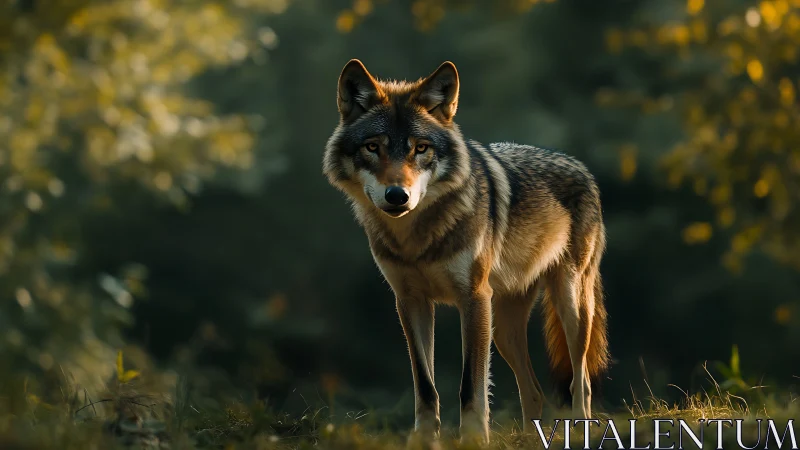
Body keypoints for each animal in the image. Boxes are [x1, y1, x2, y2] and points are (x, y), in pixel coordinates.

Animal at [323, 59, 609, 442]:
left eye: (421, 148)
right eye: (372, 147)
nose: (397, 196)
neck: (418, 239)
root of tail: (580, 167)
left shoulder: (472, 298)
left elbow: (470, 385)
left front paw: (474, 438)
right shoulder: (410, 302)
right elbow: (425, 384)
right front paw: (424, 440)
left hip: (570, 307)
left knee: (582, 381)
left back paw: (579, 430)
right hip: (502, 329)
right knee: (533, 390)